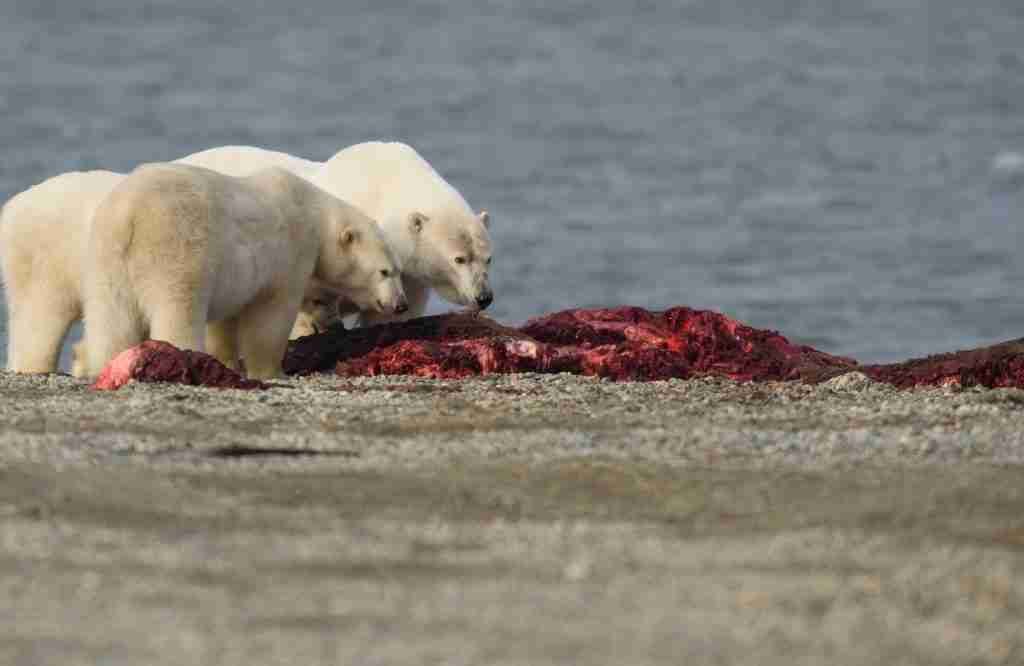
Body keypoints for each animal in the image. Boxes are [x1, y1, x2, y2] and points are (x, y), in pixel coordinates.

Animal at [77, 161, 405, 379]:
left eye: (398, 269)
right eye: (385, 272)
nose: (400, 304)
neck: (313, 214)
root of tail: (130, 213)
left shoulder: (237, 277)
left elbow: (225, 321)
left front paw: (226, 362)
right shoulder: (288, 255)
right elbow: (270, 317)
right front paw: (272, 371)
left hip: (106, 256)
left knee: (111, 317)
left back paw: (109, 364)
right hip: (177, 247)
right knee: (179, 306)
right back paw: (181, 356)